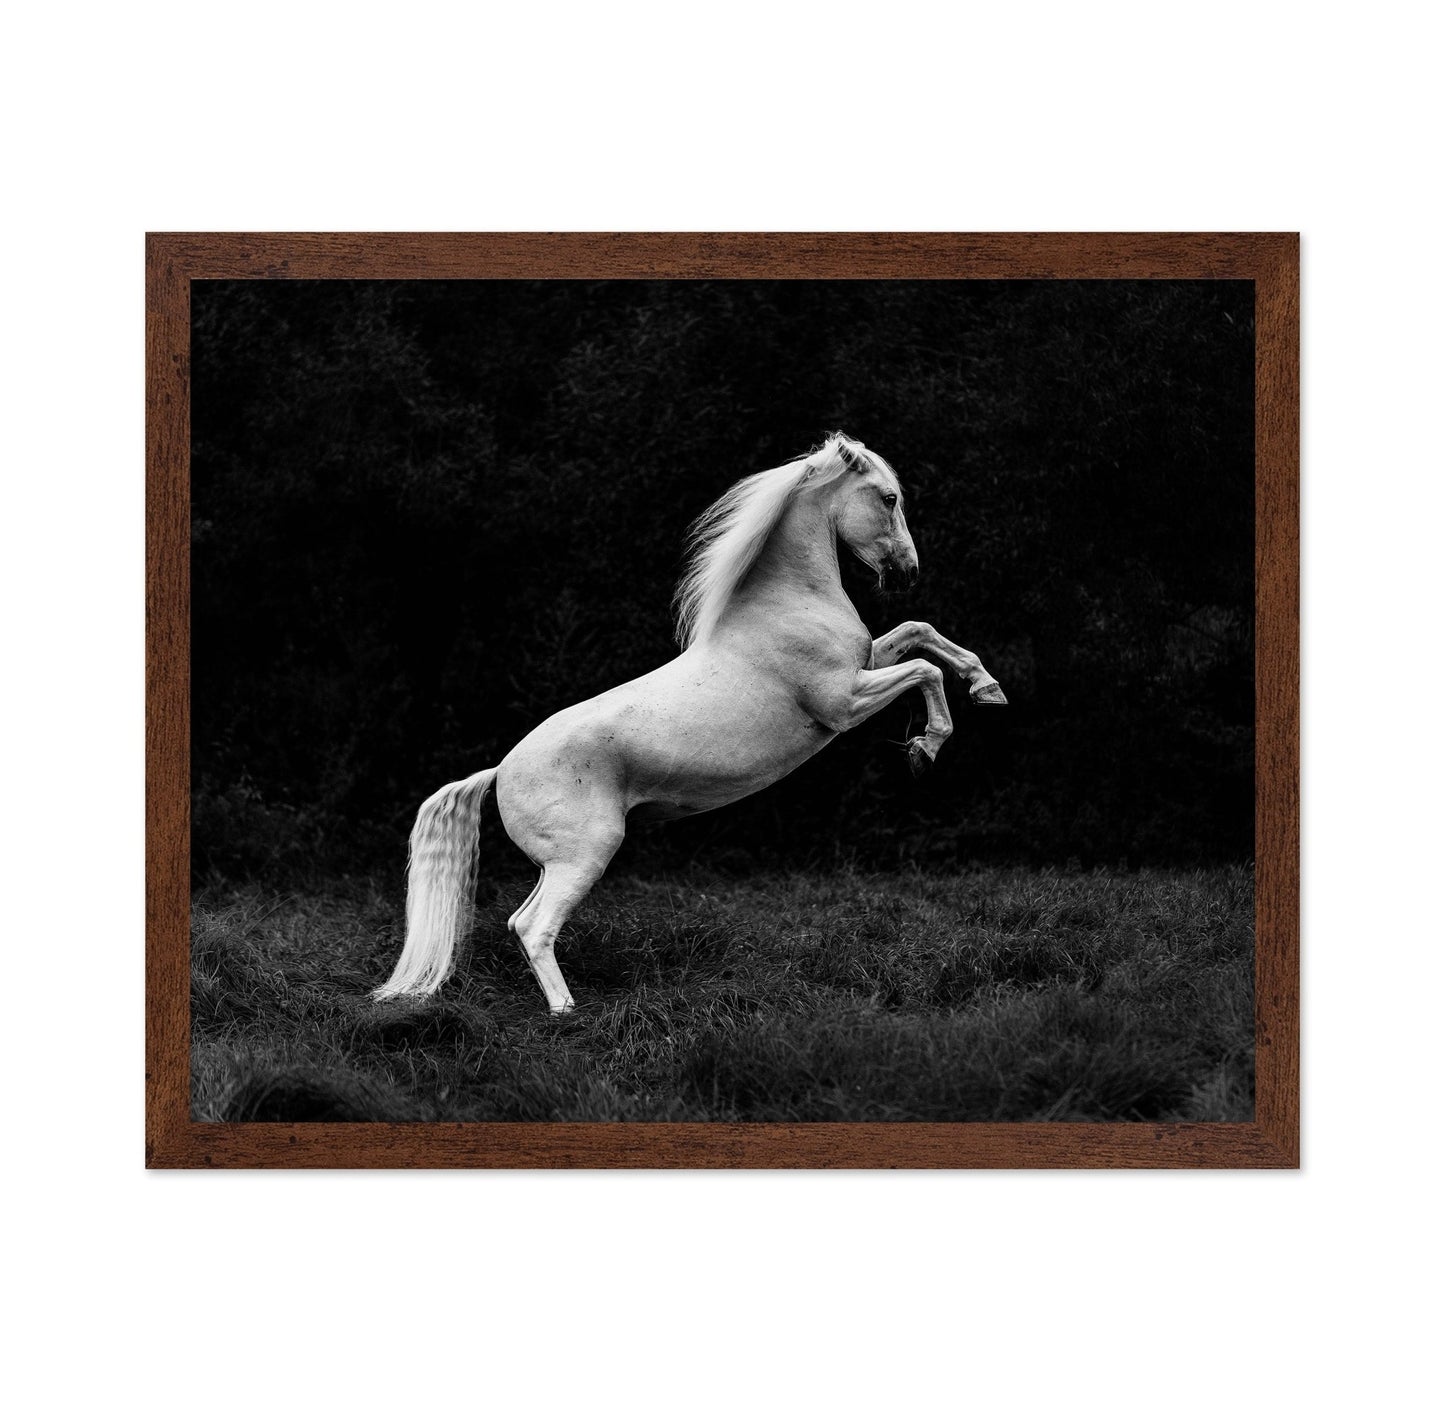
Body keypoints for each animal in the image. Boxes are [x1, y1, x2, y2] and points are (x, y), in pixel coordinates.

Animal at [373, 432, 1007, 1014]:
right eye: (889, 497)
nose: (908, 572)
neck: (787, 606)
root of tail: (499, 771)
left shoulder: (866, 664)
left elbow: (920, 633)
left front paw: (987, 688)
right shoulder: (844, 702)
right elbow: (924, 669)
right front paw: (927, 747)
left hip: (556, 864)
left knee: (520, 921)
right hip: (585, 854)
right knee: (534, 927)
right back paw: (567, 1013)